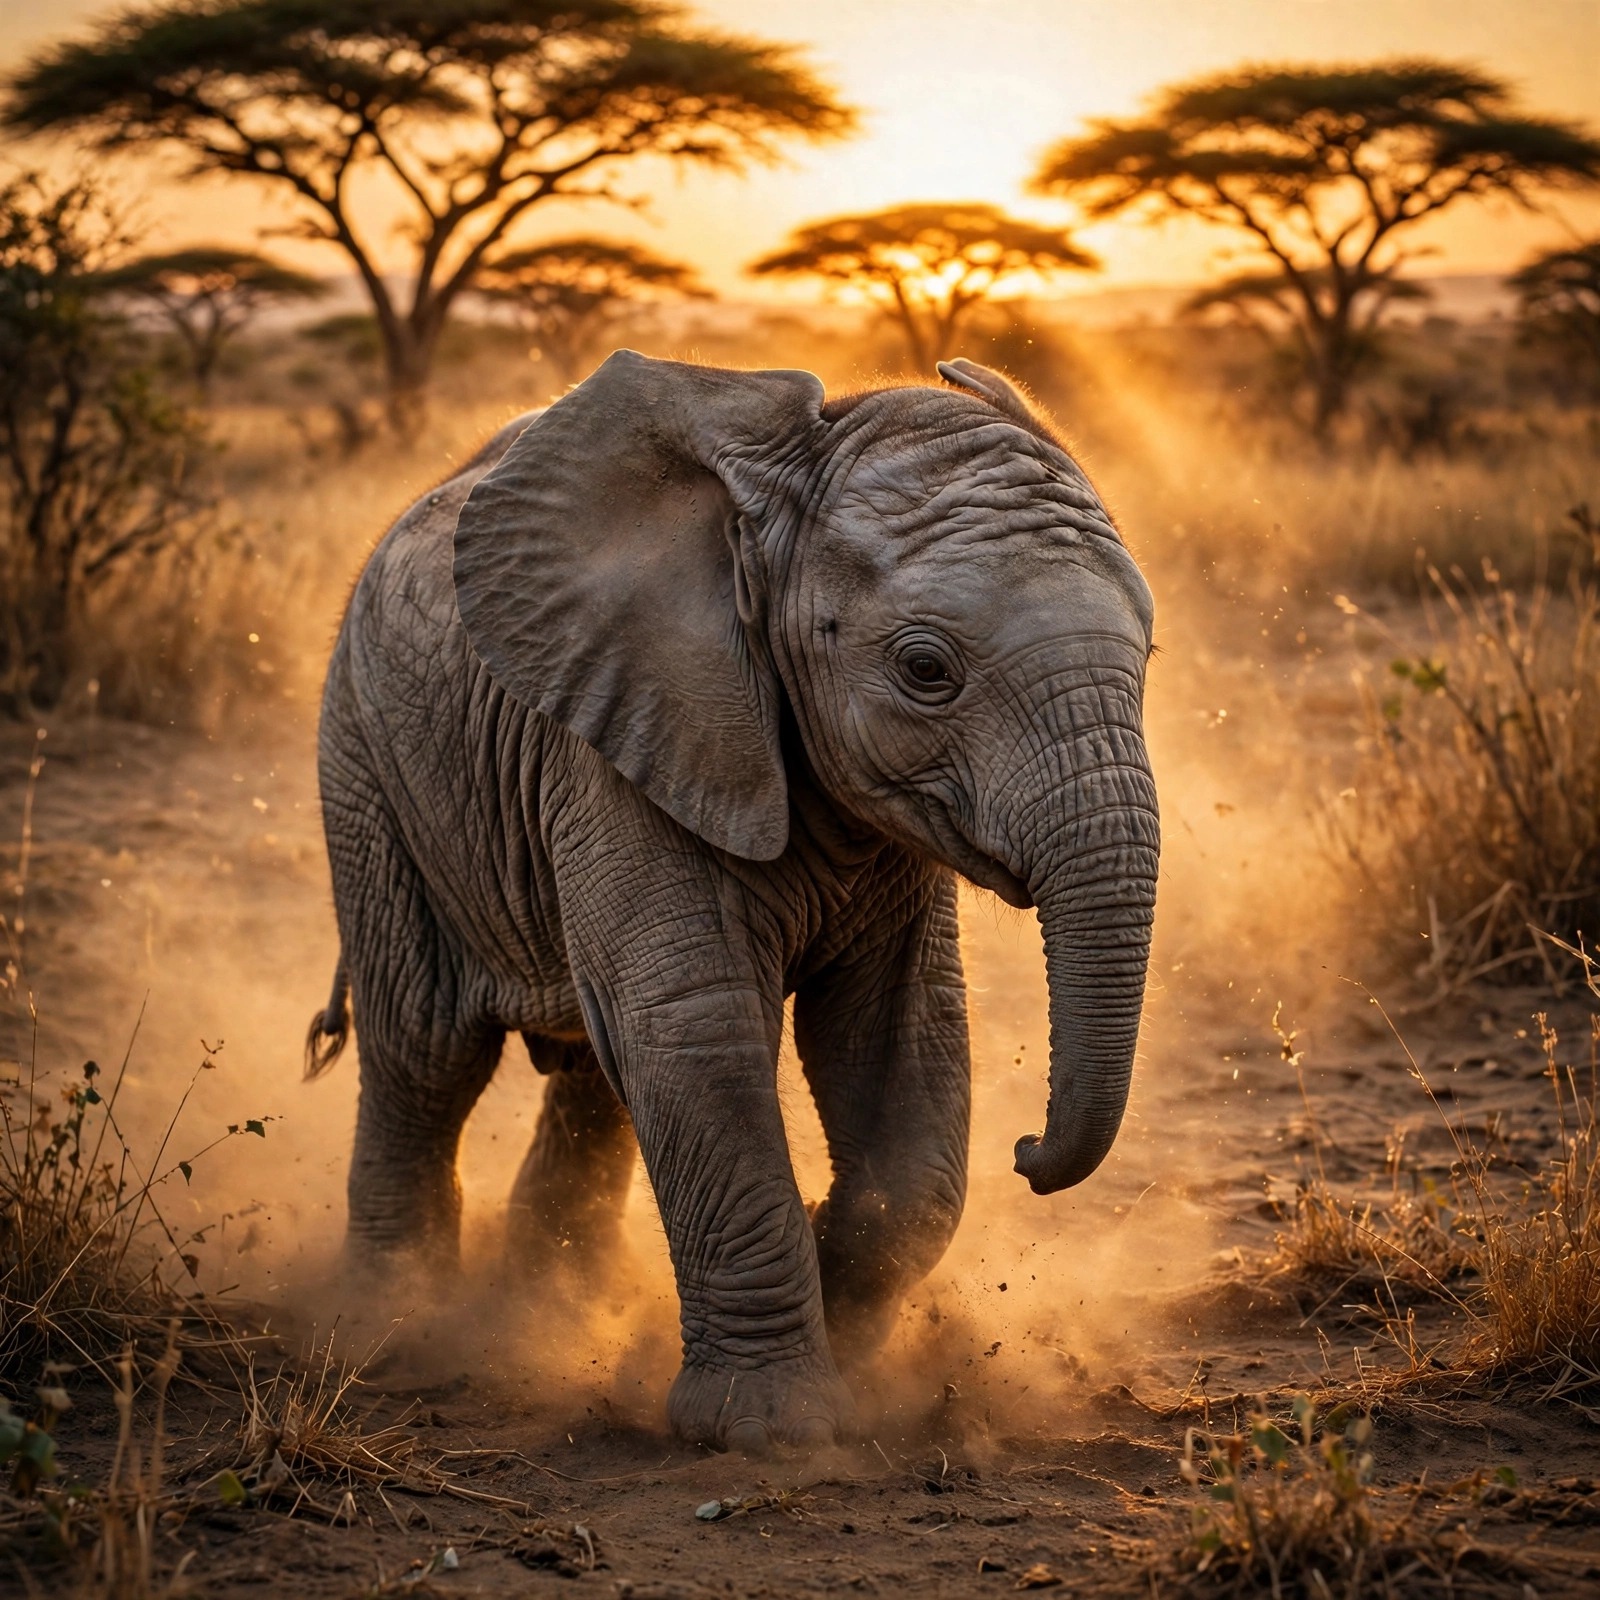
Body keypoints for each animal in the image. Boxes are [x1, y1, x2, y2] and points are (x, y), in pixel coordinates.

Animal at [306, 350, 1159, 1454]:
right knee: (424, 1051)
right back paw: (398, 1327)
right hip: (367, 765)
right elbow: (697, 1030)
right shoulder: (624, 738)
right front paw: (770, 1431)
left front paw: (843, 1310)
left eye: (1147, 658)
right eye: (926, 669)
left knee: (590, 1069)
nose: (1030, 1153)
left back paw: (549, 1303)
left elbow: (898, 1042)